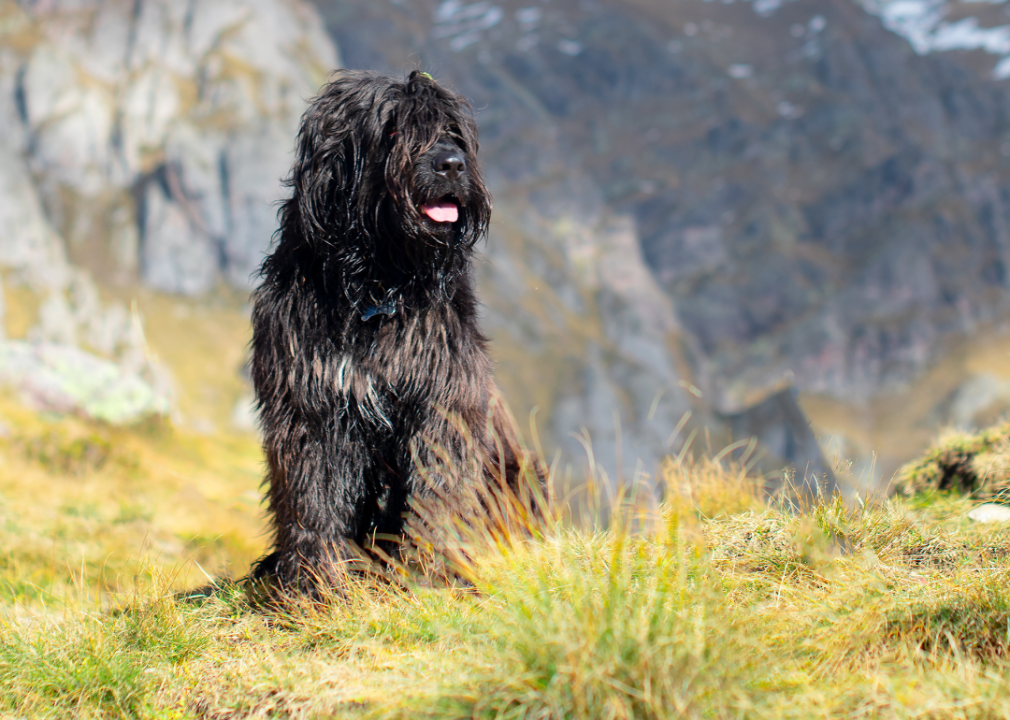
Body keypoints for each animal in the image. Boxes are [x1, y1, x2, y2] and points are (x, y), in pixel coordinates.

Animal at [247, 68, 541, 593]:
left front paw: (432, 568)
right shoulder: (310, 403)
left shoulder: (441, 396)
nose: (451, 165)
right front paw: (314, 581)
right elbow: (313, 494)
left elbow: (438, 485)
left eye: (452, 131)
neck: (377, 286)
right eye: (392, 129)